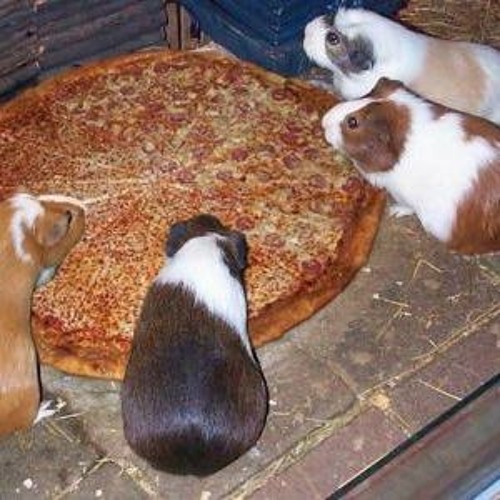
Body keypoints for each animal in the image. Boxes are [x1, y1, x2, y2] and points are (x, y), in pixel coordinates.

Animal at [321, 78, 500, 255]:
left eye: (352, 122)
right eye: (367, 94)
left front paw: (394, 211)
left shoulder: (403, 195)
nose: (324, 121)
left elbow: (407, 206)